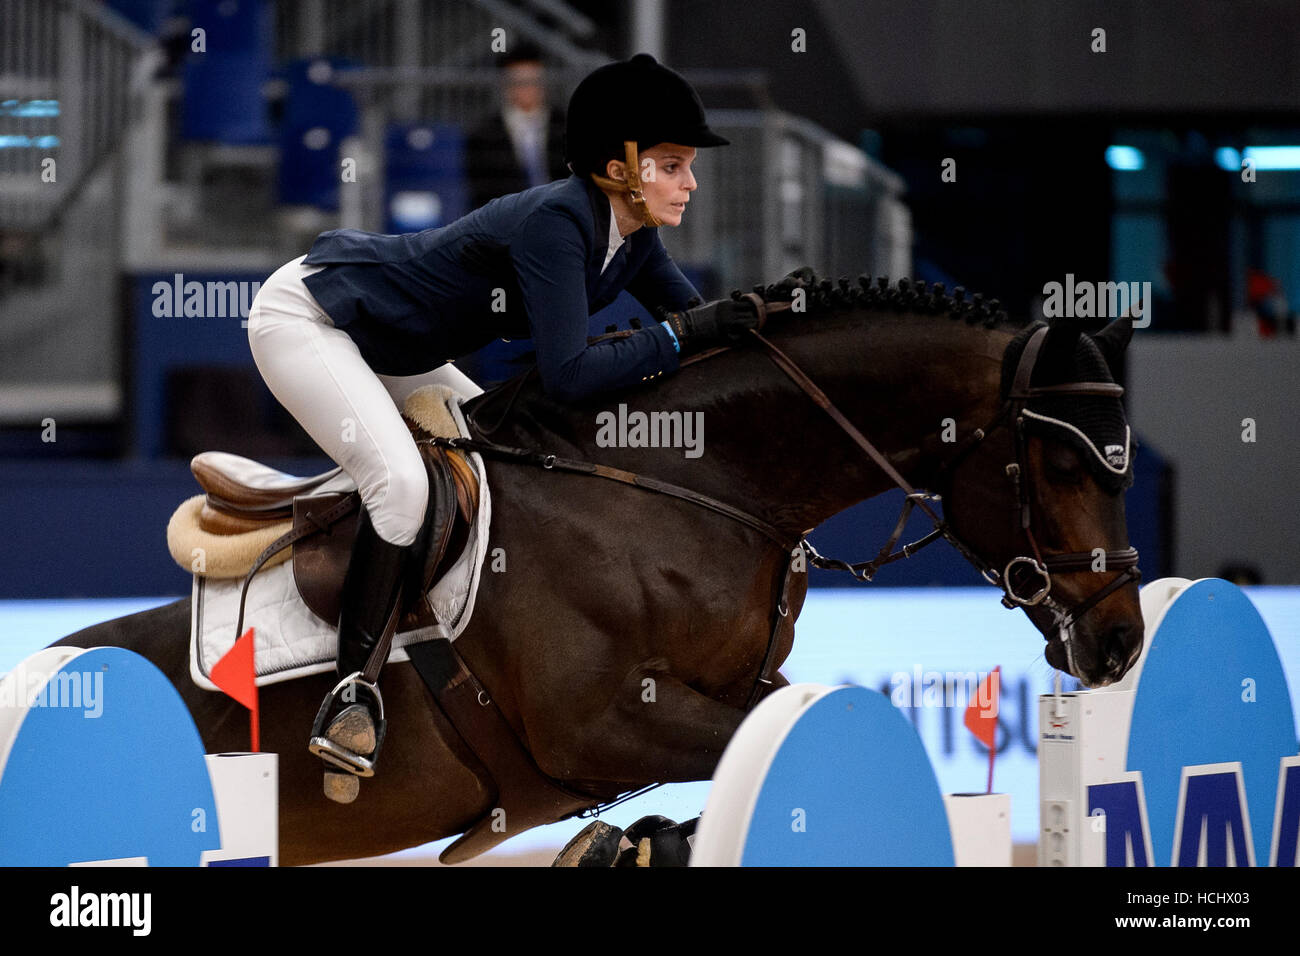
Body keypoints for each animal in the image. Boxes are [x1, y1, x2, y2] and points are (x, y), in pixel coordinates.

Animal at [55, 278, 1144, 868]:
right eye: (1060, 465)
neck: (686, 483)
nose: (1120, 640)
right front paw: (627, 843)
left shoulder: (730, 687)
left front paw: (633, 843)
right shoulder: (591, 724)